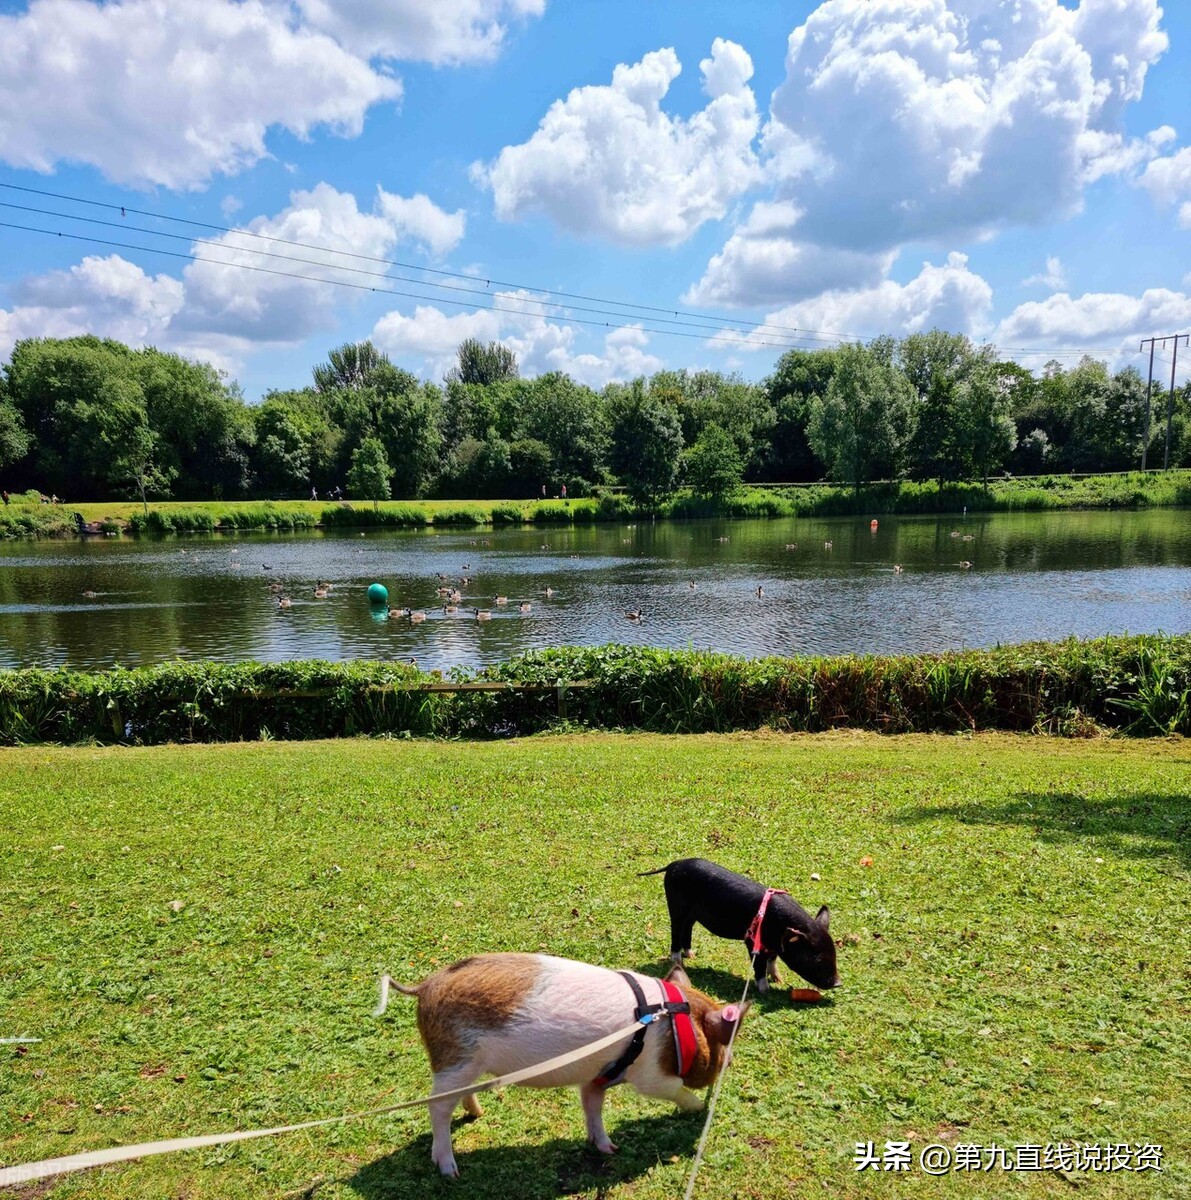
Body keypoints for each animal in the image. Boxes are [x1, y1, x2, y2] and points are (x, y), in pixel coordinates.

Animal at [374, 950, 744, 1176]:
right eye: (723, 1047)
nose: (727, 1065)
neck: (675, 1024)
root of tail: (424, 986)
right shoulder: (651, 1074)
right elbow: (672, 1088)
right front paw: (698, 1108)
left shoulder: (598, 1076)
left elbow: (592, 1106)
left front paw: (608, 1148)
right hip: (453, 1061)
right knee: (437, 1109)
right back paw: (450, 1170)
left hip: (466, 1066)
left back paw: (478, 1114)